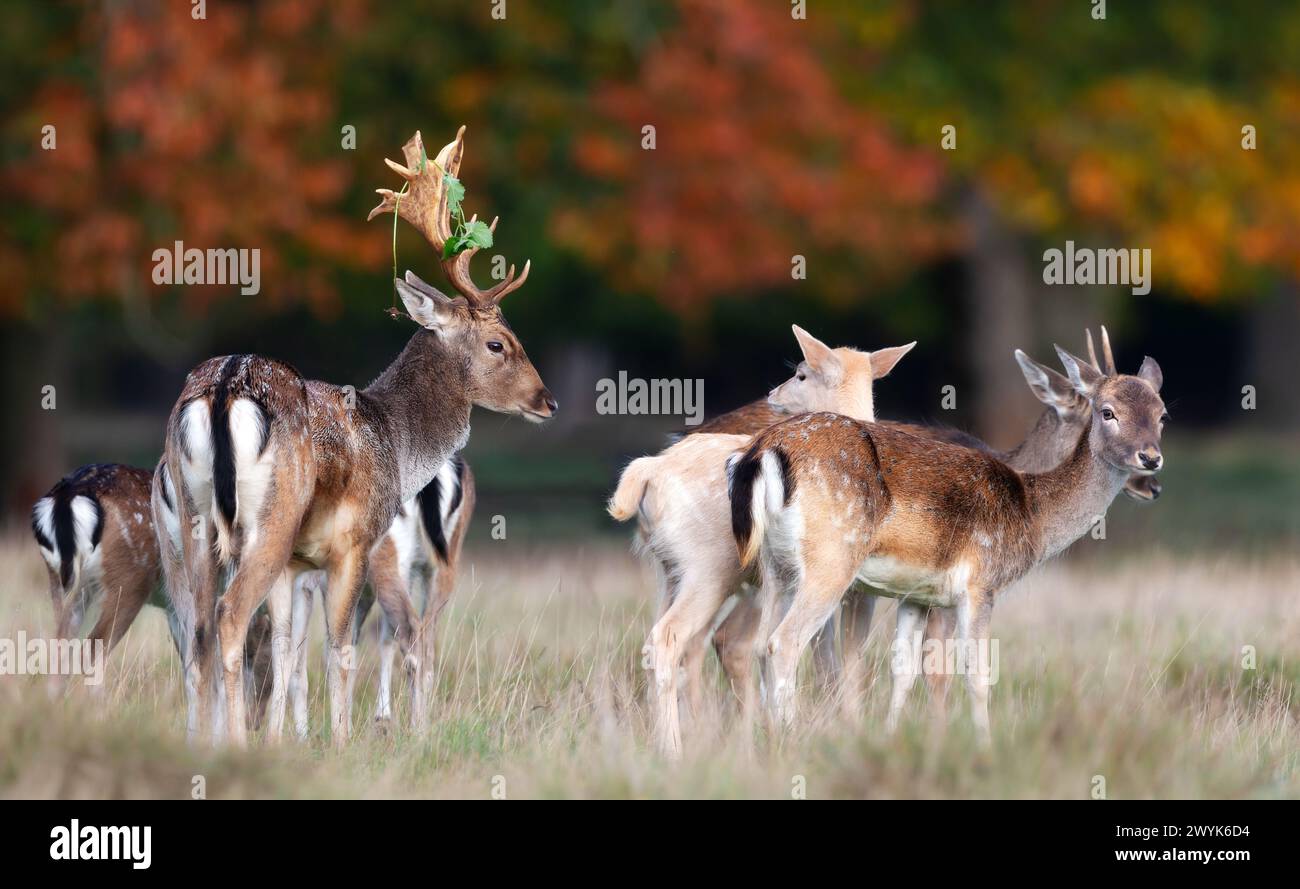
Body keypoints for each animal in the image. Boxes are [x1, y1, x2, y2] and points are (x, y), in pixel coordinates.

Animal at [288, 454, 474, 735]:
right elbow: (351, 647)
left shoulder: (308, 580)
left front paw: (304, 734)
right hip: (442, 564)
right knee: (425, 637)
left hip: (385, 559)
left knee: (410, 629)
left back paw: (416, 729)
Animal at [608, 326, 915, 757]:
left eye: (800, 374)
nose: (772, 394)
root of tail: (648, 471)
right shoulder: (851, 584)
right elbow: (846, 655)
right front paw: (848, 724)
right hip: (709, 569)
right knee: (676, 639)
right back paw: (676, 748)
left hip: (670, 570)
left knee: (679, 643)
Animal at [729, 344, 1167, 743]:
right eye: (1106, 411)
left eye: (1162, 414)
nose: (1150, 461)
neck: (1032, 513)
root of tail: (765, 450)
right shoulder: (979, 583)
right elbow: (974, 674)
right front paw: (982, 746)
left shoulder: (917, 594)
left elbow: (904, 668)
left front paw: (892, 737)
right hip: (831, 559)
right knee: (784, 643)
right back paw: (789, 737)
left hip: (774, 566)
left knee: (755, 644)